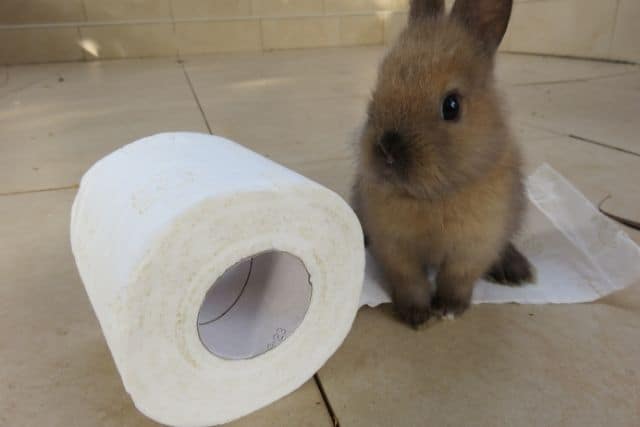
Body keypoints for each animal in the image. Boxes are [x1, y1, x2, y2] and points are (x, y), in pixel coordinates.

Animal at [352, 0, 532, 328]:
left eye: (452, 105)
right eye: (380, 84)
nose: (387, 149)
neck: (433, 196)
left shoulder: (473, 247)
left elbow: (457, 280)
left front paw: (448, 309)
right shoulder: (396, 248)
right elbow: (410, 281)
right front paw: (417, 316)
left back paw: (516, 271)